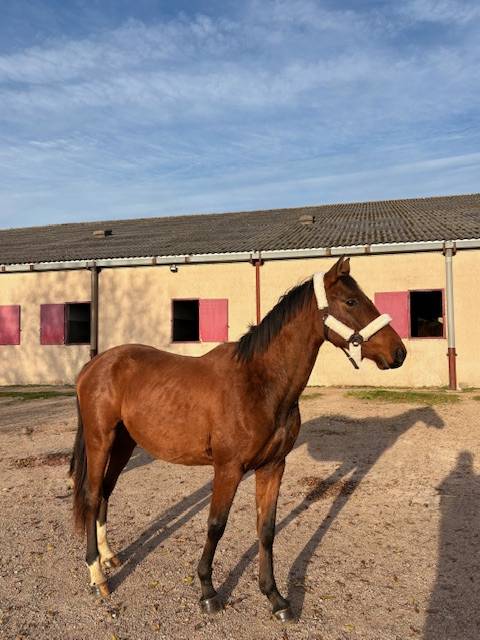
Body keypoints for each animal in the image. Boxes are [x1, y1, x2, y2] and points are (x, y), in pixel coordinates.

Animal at [69, 256, 406, 622]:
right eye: (351, 301)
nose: (398, 352)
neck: (259, 383)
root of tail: (94, 365)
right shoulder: (228, 468)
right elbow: (216, 525)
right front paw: (208, 591)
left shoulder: (273, 466)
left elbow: (266, 529)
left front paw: (275, 598)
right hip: (100, 440)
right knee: (92, 495)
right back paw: (97, 575)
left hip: (124, 443)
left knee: (106, 492)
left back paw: (108, 557)